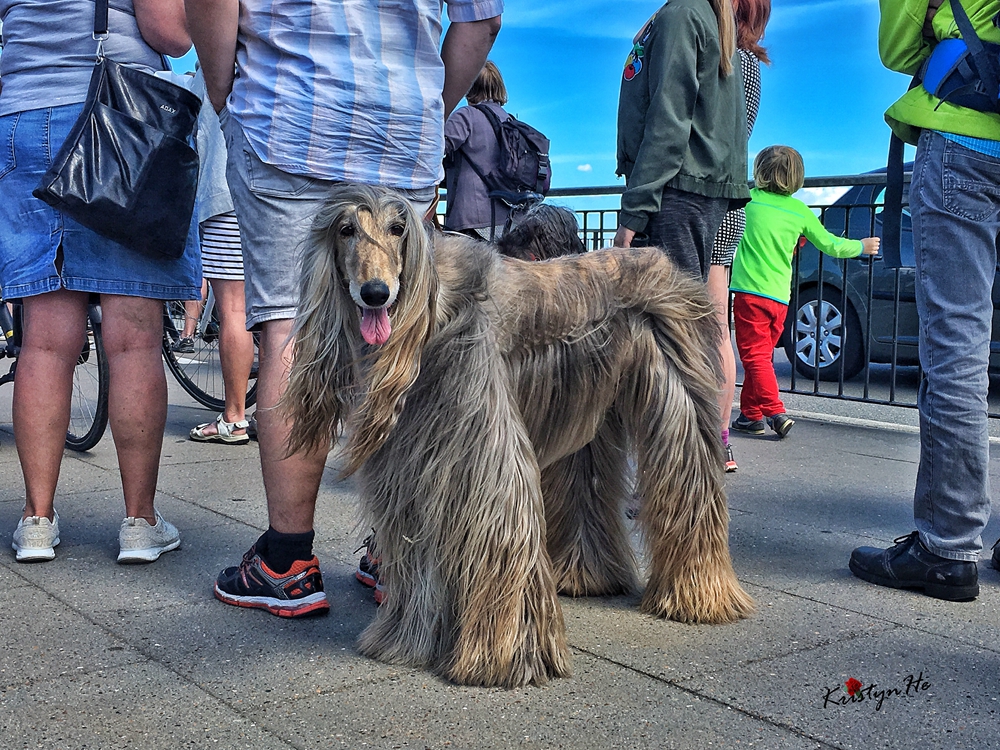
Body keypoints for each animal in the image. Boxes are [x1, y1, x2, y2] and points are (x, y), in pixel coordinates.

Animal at [280, 185, 752, 692]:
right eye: (345, 229)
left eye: (397, 228)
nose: (375, 293)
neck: (431, 314)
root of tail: (661, 260)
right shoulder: (415, 454)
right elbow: (417, 542)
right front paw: (407, 640)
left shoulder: (483, 445)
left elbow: (504, 520)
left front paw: (505, 656)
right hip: (584, 405)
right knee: (584, 477)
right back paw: (585, 576)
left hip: (678, 396)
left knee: (690, 480)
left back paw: (700, 595)